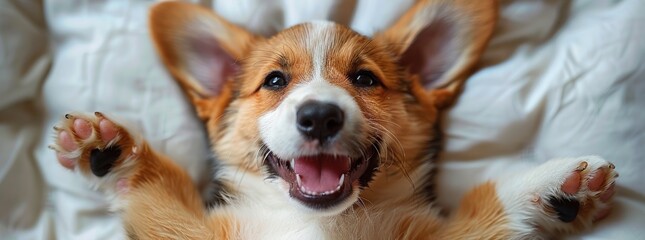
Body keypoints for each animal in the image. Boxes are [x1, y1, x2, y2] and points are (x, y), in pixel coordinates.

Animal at [49, 0, 612, 239]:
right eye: (275, 80)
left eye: (365, 79)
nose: (319, 116)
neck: (320, 221)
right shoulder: (187, 233)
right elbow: (157, 193)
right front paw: (111, 151)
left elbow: (490, 208)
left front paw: (555, 188)